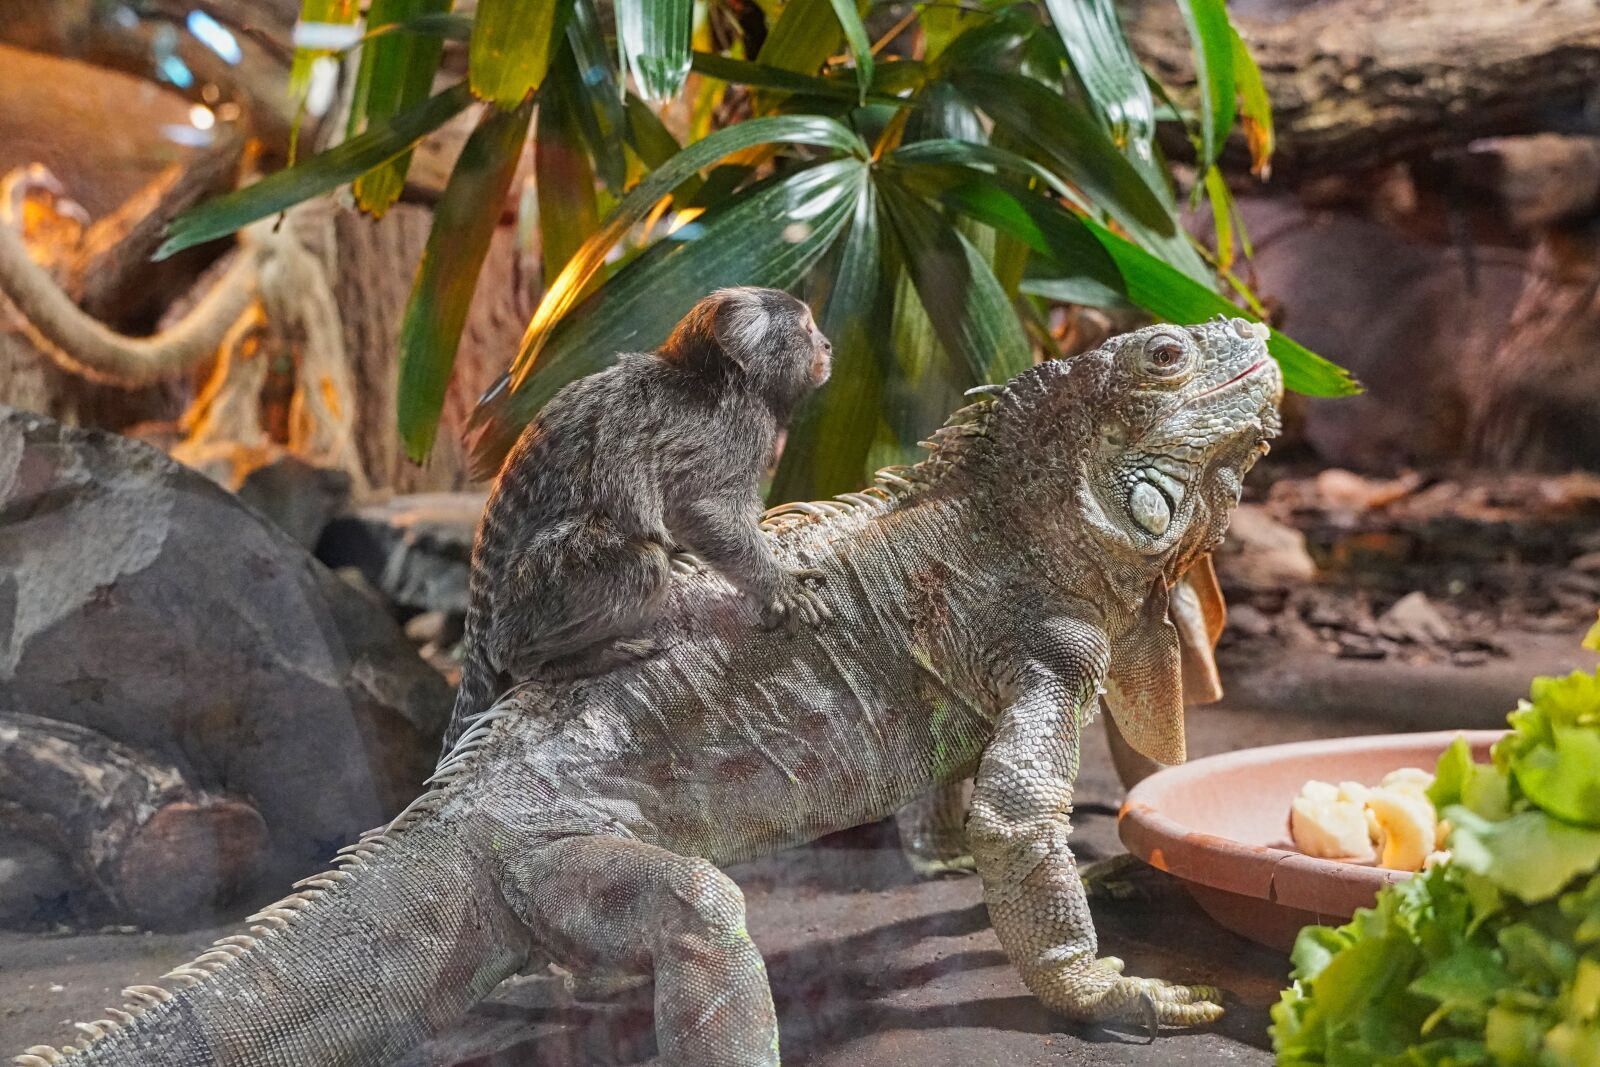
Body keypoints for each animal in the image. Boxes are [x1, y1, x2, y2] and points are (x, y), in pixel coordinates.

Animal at [445, 287, 834, 746]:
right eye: (807, 328)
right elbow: (701, 512)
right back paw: (557, 659)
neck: (720, 379)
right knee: (642, 564)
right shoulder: (730, 434)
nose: (828, 345)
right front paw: (779, 586)